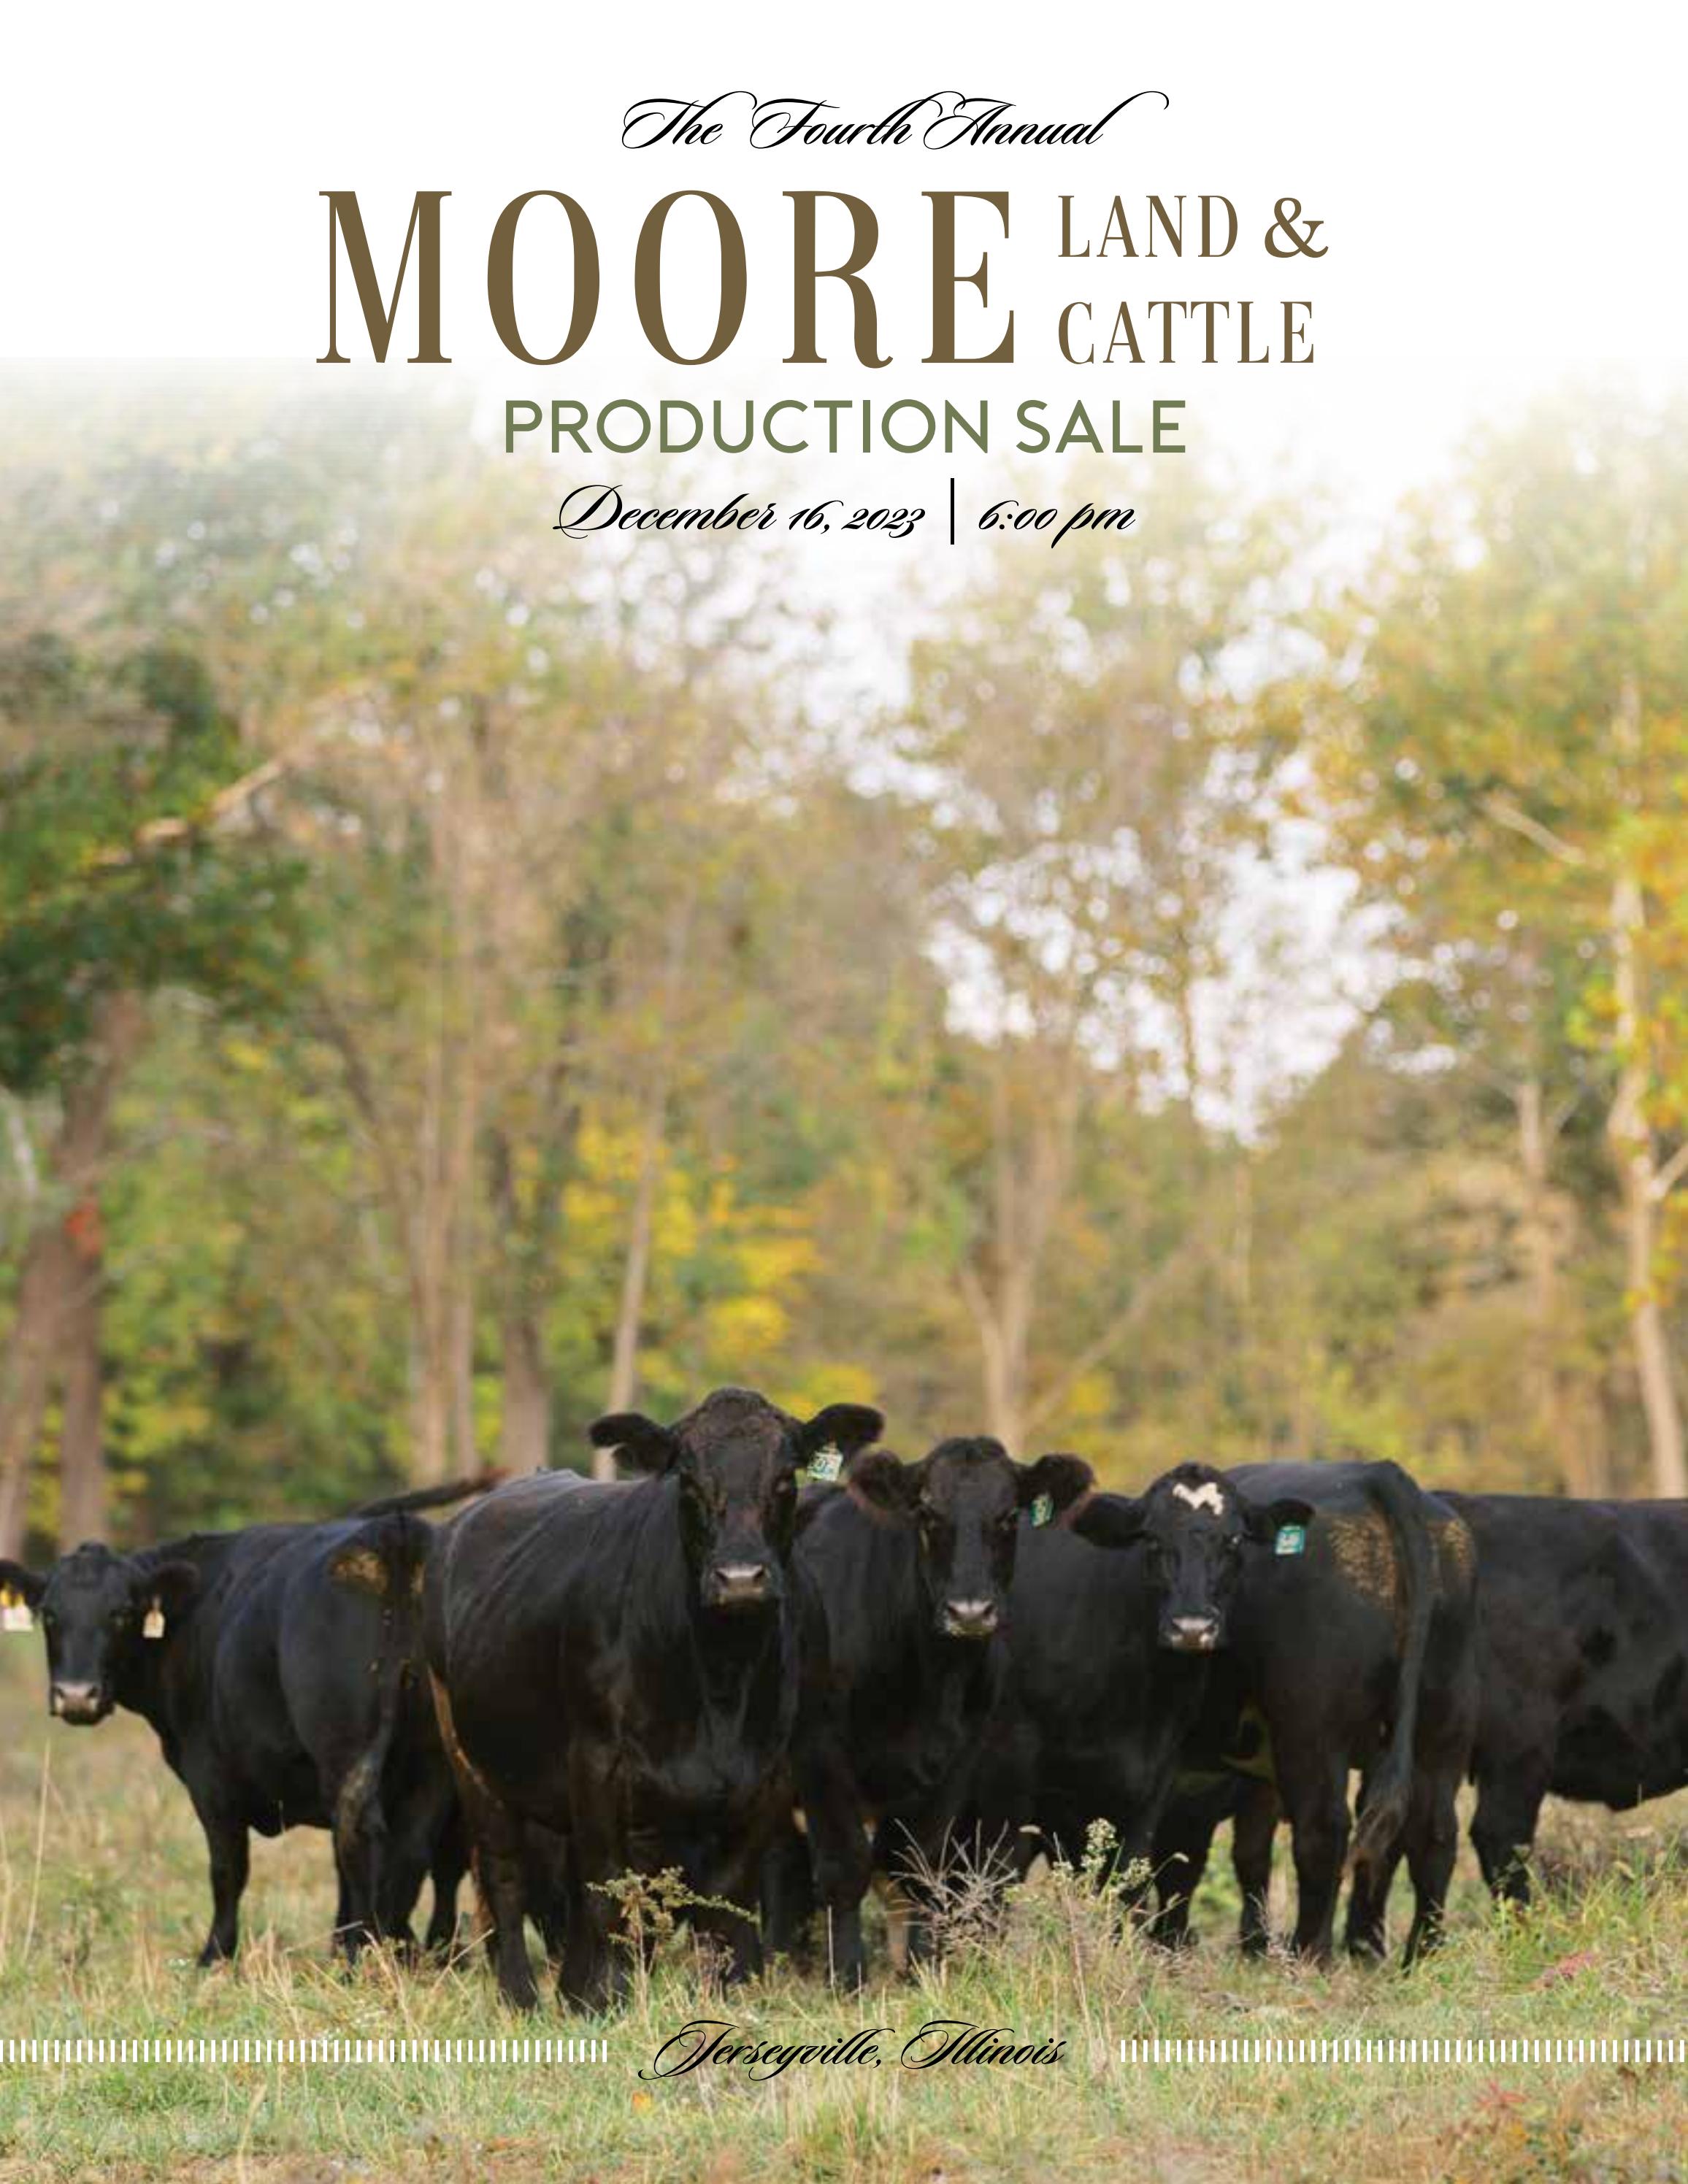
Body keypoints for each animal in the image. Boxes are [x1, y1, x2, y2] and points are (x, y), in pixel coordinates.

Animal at [0, 1477, 494, 1965]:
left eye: (120, 1613)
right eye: (50, 1614)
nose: (76, 1696)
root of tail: (394, 1531)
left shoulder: (210, 1776)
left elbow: (228, 1868)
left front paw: (215, 1955)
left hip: (349, 1752)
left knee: (365, 1837)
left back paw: (369, 1953)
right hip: (431, 1762)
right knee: (412, 1848)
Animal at [421, 1385, 884, 2011]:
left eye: (786, 1477)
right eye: (687, 1480)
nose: (741, 1578)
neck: (720, 1681)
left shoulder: (768, 1775)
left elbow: (722, 1902)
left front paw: (721, 1994)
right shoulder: (595, 1762)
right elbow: (610, 1894)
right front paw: (607, 1999)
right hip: (471, 1759)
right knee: (504, 1873)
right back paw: (522, 1996)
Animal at [763, 1436, 1094, 1984]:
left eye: (1009, 1516)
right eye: (928, 1514)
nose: (970, 1611)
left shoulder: (956, 1762)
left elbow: (920, 1866)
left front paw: (921, 1970)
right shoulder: (819, 1753)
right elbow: (844, 1865)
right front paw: (848, 1977)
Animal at [962, 1462, 1315, 1924]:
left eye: (1234, 1539)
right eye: (1152, 1538)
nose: (1192, 1627)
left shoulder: (1153, 1784)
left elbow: (1126, 1889)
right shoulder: (1013, 1768)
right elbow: (998, 1877)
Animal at [1146, 1462, 1479, 1963]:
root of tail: (1376, 1473)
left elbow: (1176, 1853)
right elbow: (1241, 1852)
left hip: (1312, 1734)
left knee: (1324, 1830)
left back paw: (1311, 1952)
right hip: (1442, 1730)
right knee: (1432, 1834)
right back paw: (1420, 1956)